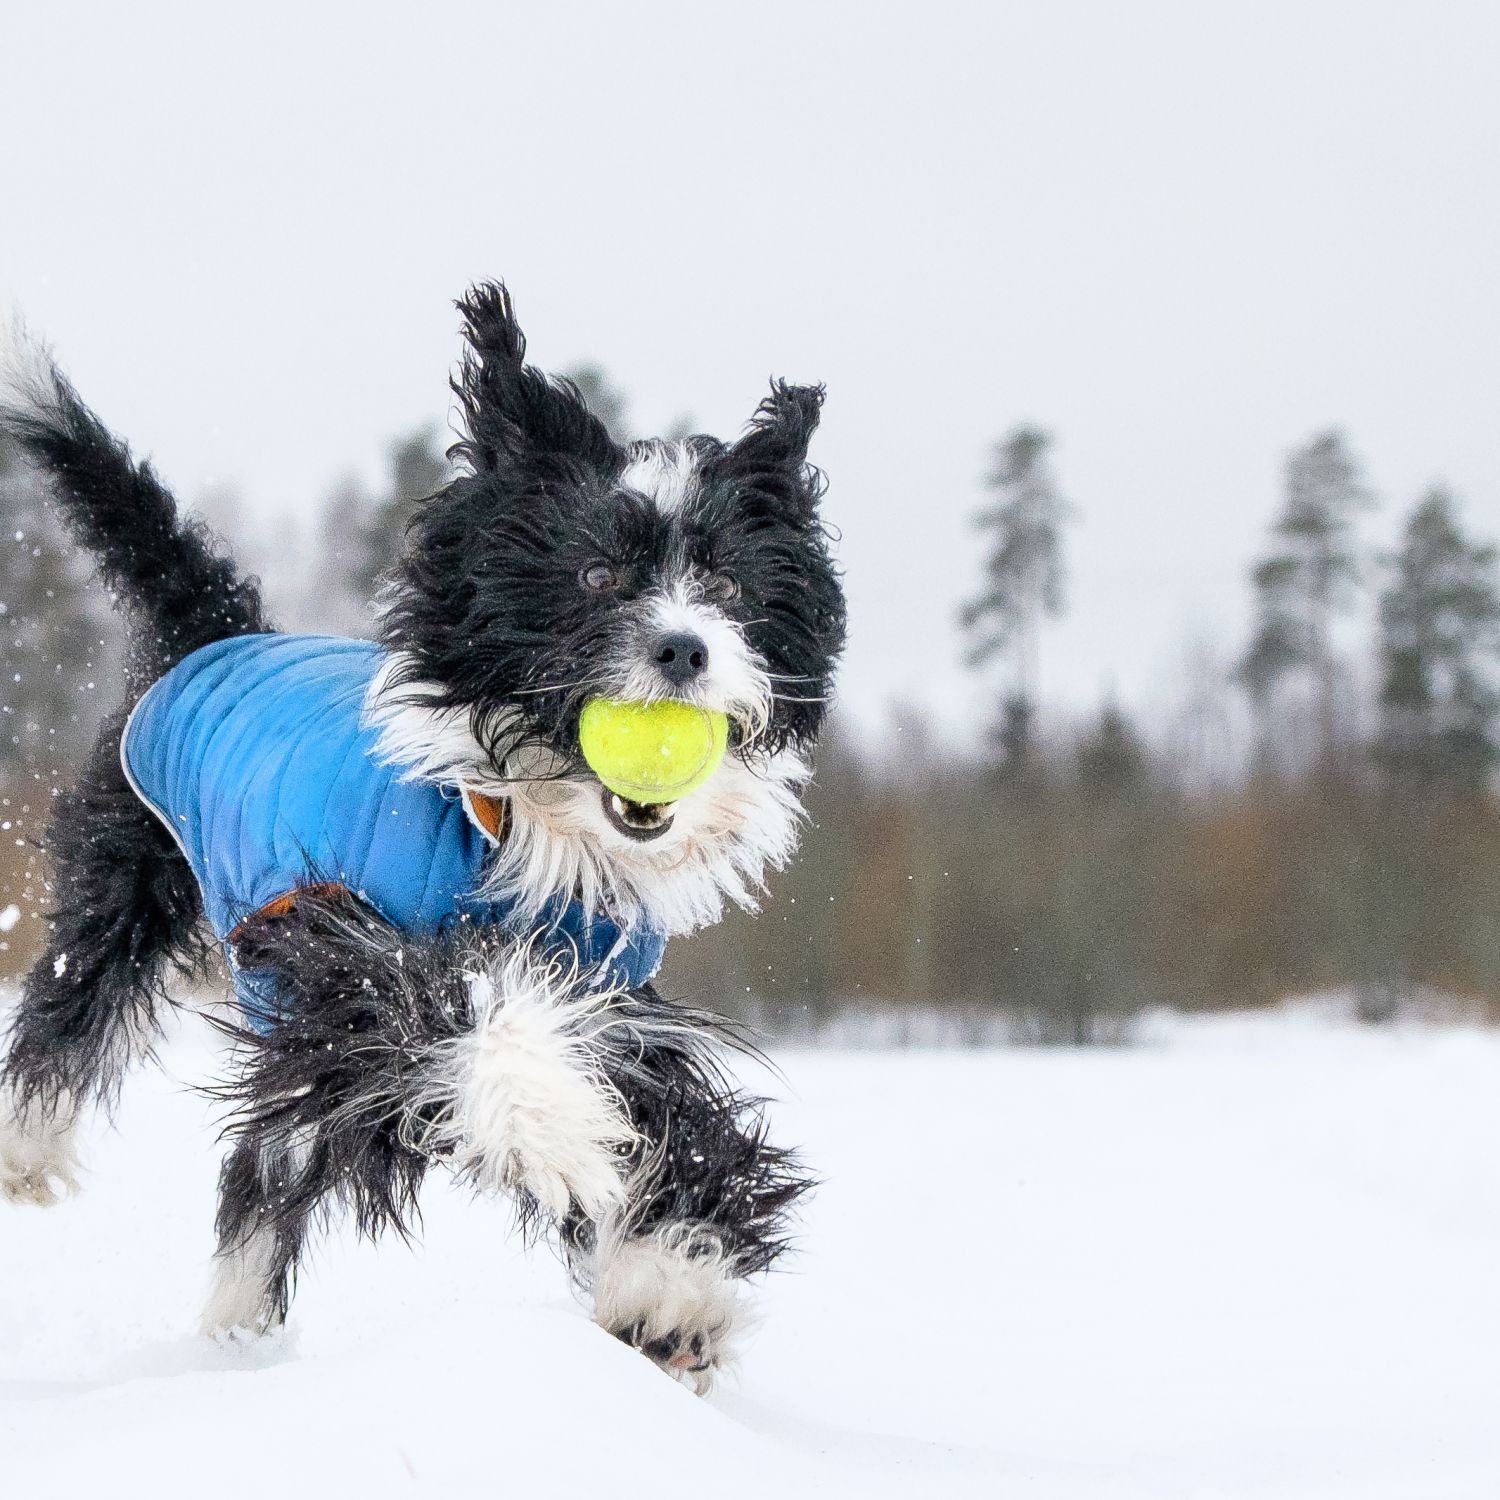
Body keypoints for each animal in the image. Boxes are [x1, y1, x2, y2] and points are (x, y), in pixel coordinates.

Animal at [0, 283, 846, 1392]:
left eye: (734, 589)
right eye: (595, 574)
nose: (686, 649)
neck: (511, 828)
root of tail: (224, 630)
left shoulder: (607, 982)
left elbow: (660, 1102)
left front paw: (669, 1284)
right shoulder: (324, 936)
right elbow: (451, 1007)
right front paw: (555, 1129)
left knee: (265, 1160)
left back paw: (236, 1345)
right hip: (132, 867)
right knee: (79, 996)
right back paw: (33, 1159)